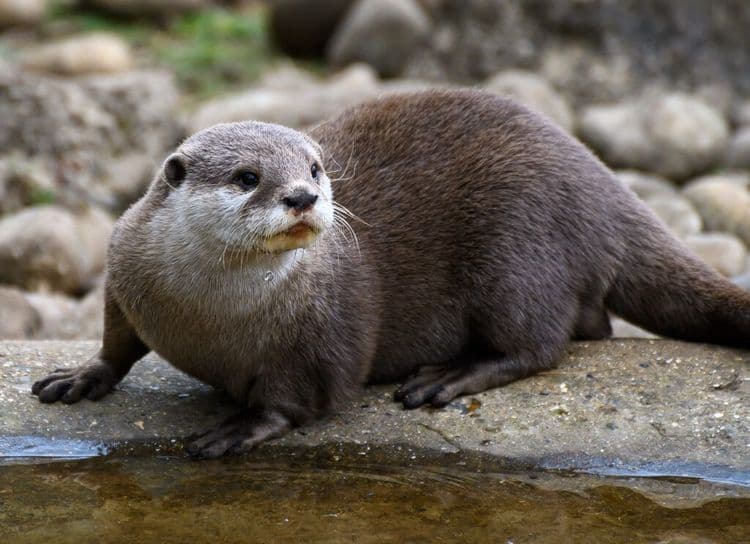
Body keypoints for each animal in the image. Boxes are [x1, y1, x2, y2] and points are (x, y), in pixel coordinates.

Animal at [32, 89, 750, 458]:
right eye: (247, 177)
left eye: (315, 167)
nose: (303, 196)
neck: (208, 315)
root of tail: (600, 181)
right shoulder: (126, 268)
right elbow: (116, 340)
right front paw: (81, 375)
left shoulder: (327, 331)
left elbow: (305, 396)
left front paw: (242, 425)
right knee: (590, 327)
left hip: (520, 246)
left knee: (540, 344)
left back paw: (450, 376)